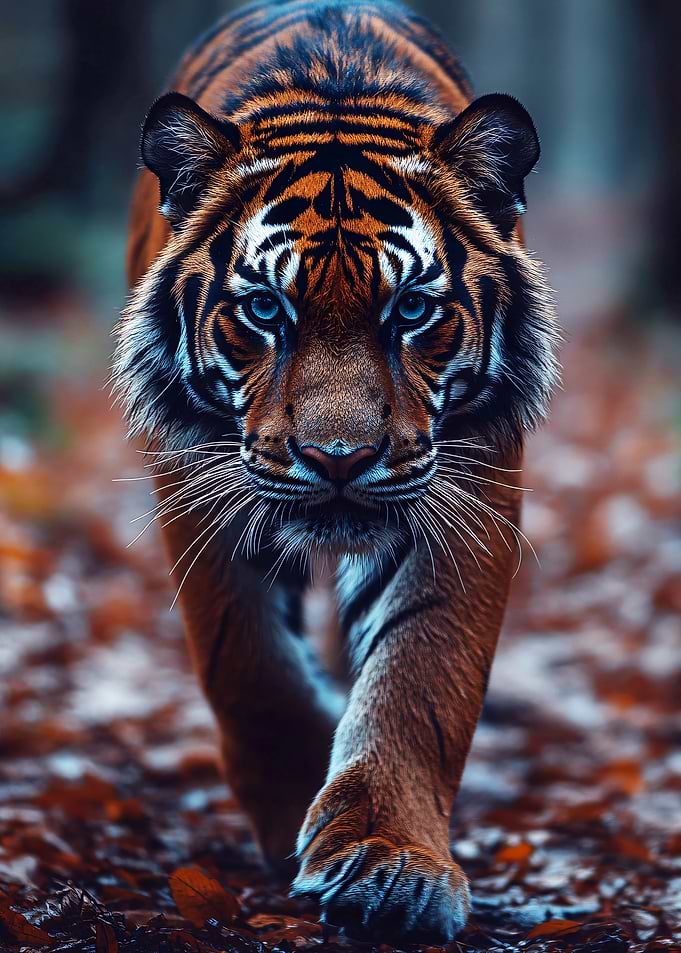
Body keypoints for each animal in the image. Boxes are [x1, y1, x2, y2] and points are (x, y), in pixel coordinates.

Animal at [114, 0, 558, 942]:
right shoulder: (198, 480)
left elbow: (420, 673)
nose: (337, 459)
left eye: (413, 309)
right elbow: (250, 668)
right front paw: (292, 820)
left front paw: (388, 864)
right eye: (263, 309)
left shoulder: (468, 481)